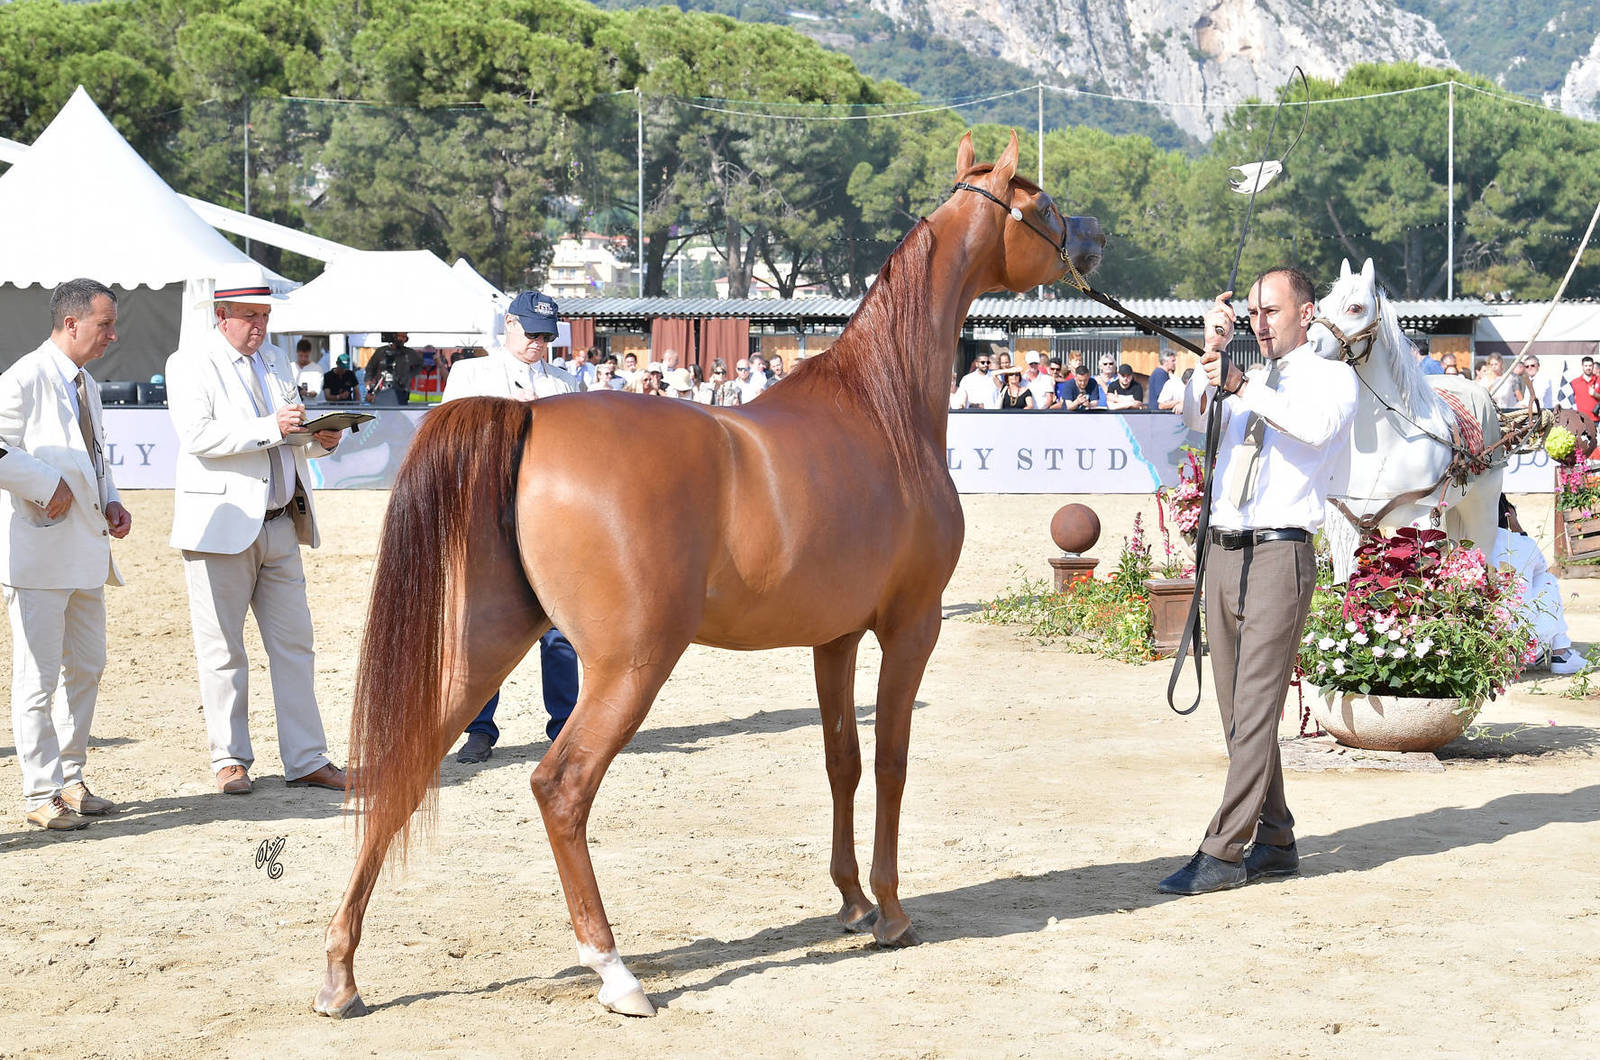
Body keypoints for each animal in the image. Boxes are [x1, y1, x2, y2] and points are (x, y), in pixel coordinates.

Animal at [312, 131, 1105, 1020]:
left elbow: (841, 759)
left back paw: (341, 973)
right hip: (632, 662)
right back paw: (614, 970)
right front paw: (892, 913)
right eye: (1042, 205)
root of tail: (529, 417)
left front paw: (850, 901)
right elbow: (892, 761)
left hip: (486, 642)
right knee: (562, 786)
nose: (1094, 239)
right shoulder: (912, 626)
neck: (882, 407)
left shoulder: (832, 639)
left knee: (406, 769)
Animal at [1313, 258, 1505, 576]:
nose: (1310, 346)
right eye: (1321, 305)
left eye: (1355, 307)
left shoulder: (1424, 518)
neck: (1385, 445)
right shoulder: (1346, 524)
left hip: (1483, 509)